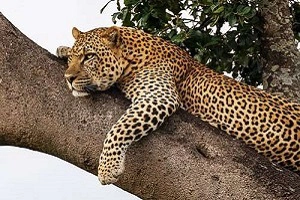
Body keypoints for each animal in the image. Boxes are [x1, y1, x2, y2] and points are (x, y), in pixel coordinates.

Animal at [56, 25, 300, 185]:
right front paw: (63, 49)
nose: (68, 78)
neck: (132, 55)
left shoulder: (159, 95)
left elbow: (119, 129)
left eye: (89, 57)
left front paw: (108, 168)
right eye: (74, 58)